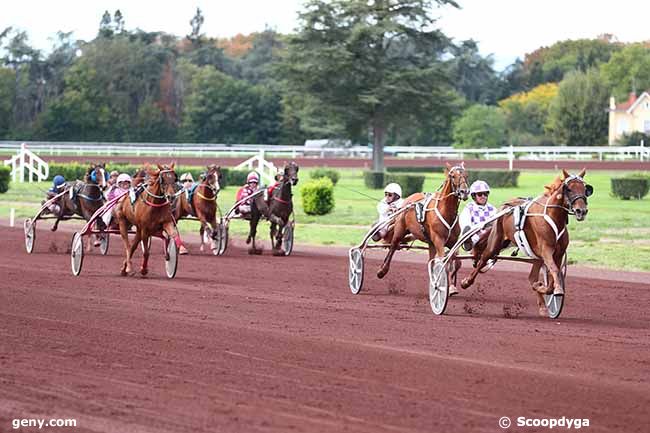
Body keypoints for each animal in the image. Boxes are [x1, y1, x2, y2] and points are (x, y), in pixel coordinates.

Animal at [458, 168, 588, 314]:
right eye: (569, 189)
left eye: (585, 189)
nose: (581, 211)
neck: (552, 217)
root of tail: (506, 205)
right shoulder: (546, 250)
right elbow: (553, 270)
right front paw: (552, 289)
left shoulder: (558, 253)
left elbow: (552, 277)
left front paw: (542, 287)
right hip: (495, 242)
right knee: (482, 260)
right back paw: (466, 282)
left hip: (535, 255)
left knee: (531, 277)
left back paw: (542, 305)